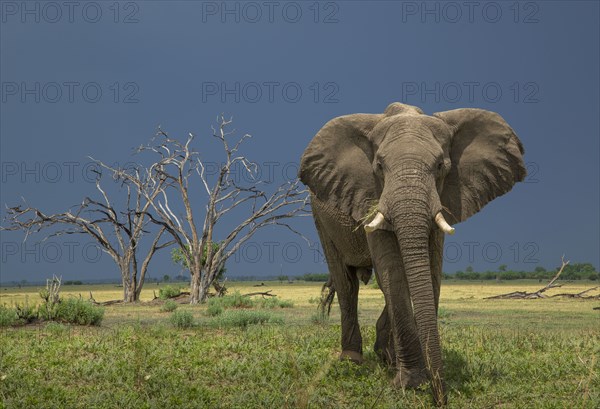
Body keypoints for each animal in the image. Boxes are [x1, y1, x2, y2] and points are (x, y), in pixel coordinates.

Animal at [300, 103, 524, 404]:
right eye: (379, 166)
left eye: (441, 166)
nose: (441, 400)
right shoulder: (370, 193)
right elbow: (393, 272)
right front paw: (411, 383)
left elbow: (429, 271)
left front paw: (409, 375)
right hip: (321, 218)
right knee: (346, 282)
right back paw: (352, 360)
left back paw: (386, 357)